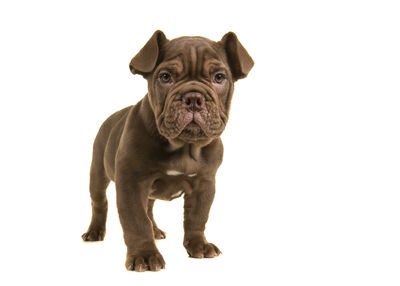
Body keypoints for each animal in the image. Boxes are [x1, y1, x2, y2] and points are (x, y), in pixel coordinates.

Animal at [82, 30, 253, 272]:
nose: (194, 98)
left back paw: (155, 230)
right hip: (97, 172)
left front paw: (199, 245)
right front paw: (144, 255)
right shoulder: (131, 182)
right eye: (165, 77)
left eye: (219, 77)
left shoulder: (205, 184)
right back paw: (95, 231)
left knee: (149, 207)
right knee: (99, 202)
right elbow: (136, 220)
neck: (184, 145)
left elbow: (197, 217)